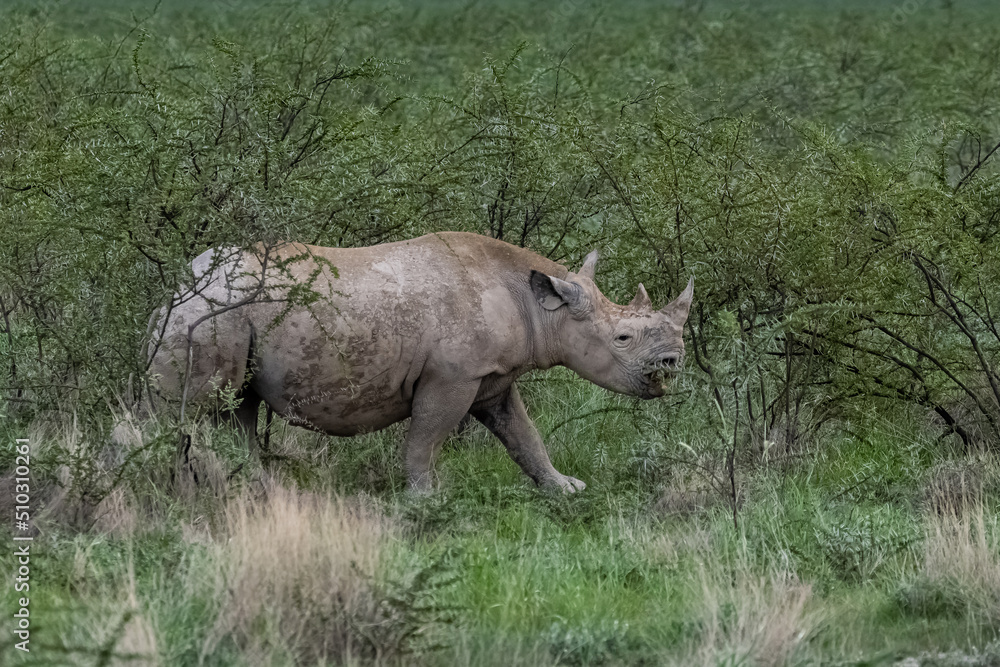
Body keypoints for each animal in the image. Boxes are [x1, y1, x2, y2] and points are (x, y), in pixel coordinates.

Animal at [148, 232, 692, 492]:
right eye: (622, 337)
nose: (673, 361)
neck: (542, 308)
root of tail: (178, 285)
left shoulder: (493, 377)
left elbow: (524, 436)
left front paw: (565, 489)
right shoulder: (453, 376)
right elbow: (426, 439)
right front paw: (426, 499)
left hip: (224, 315)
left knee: (234, 408)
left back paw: (258, 493)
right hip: (209, 315)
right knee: (188, 412)